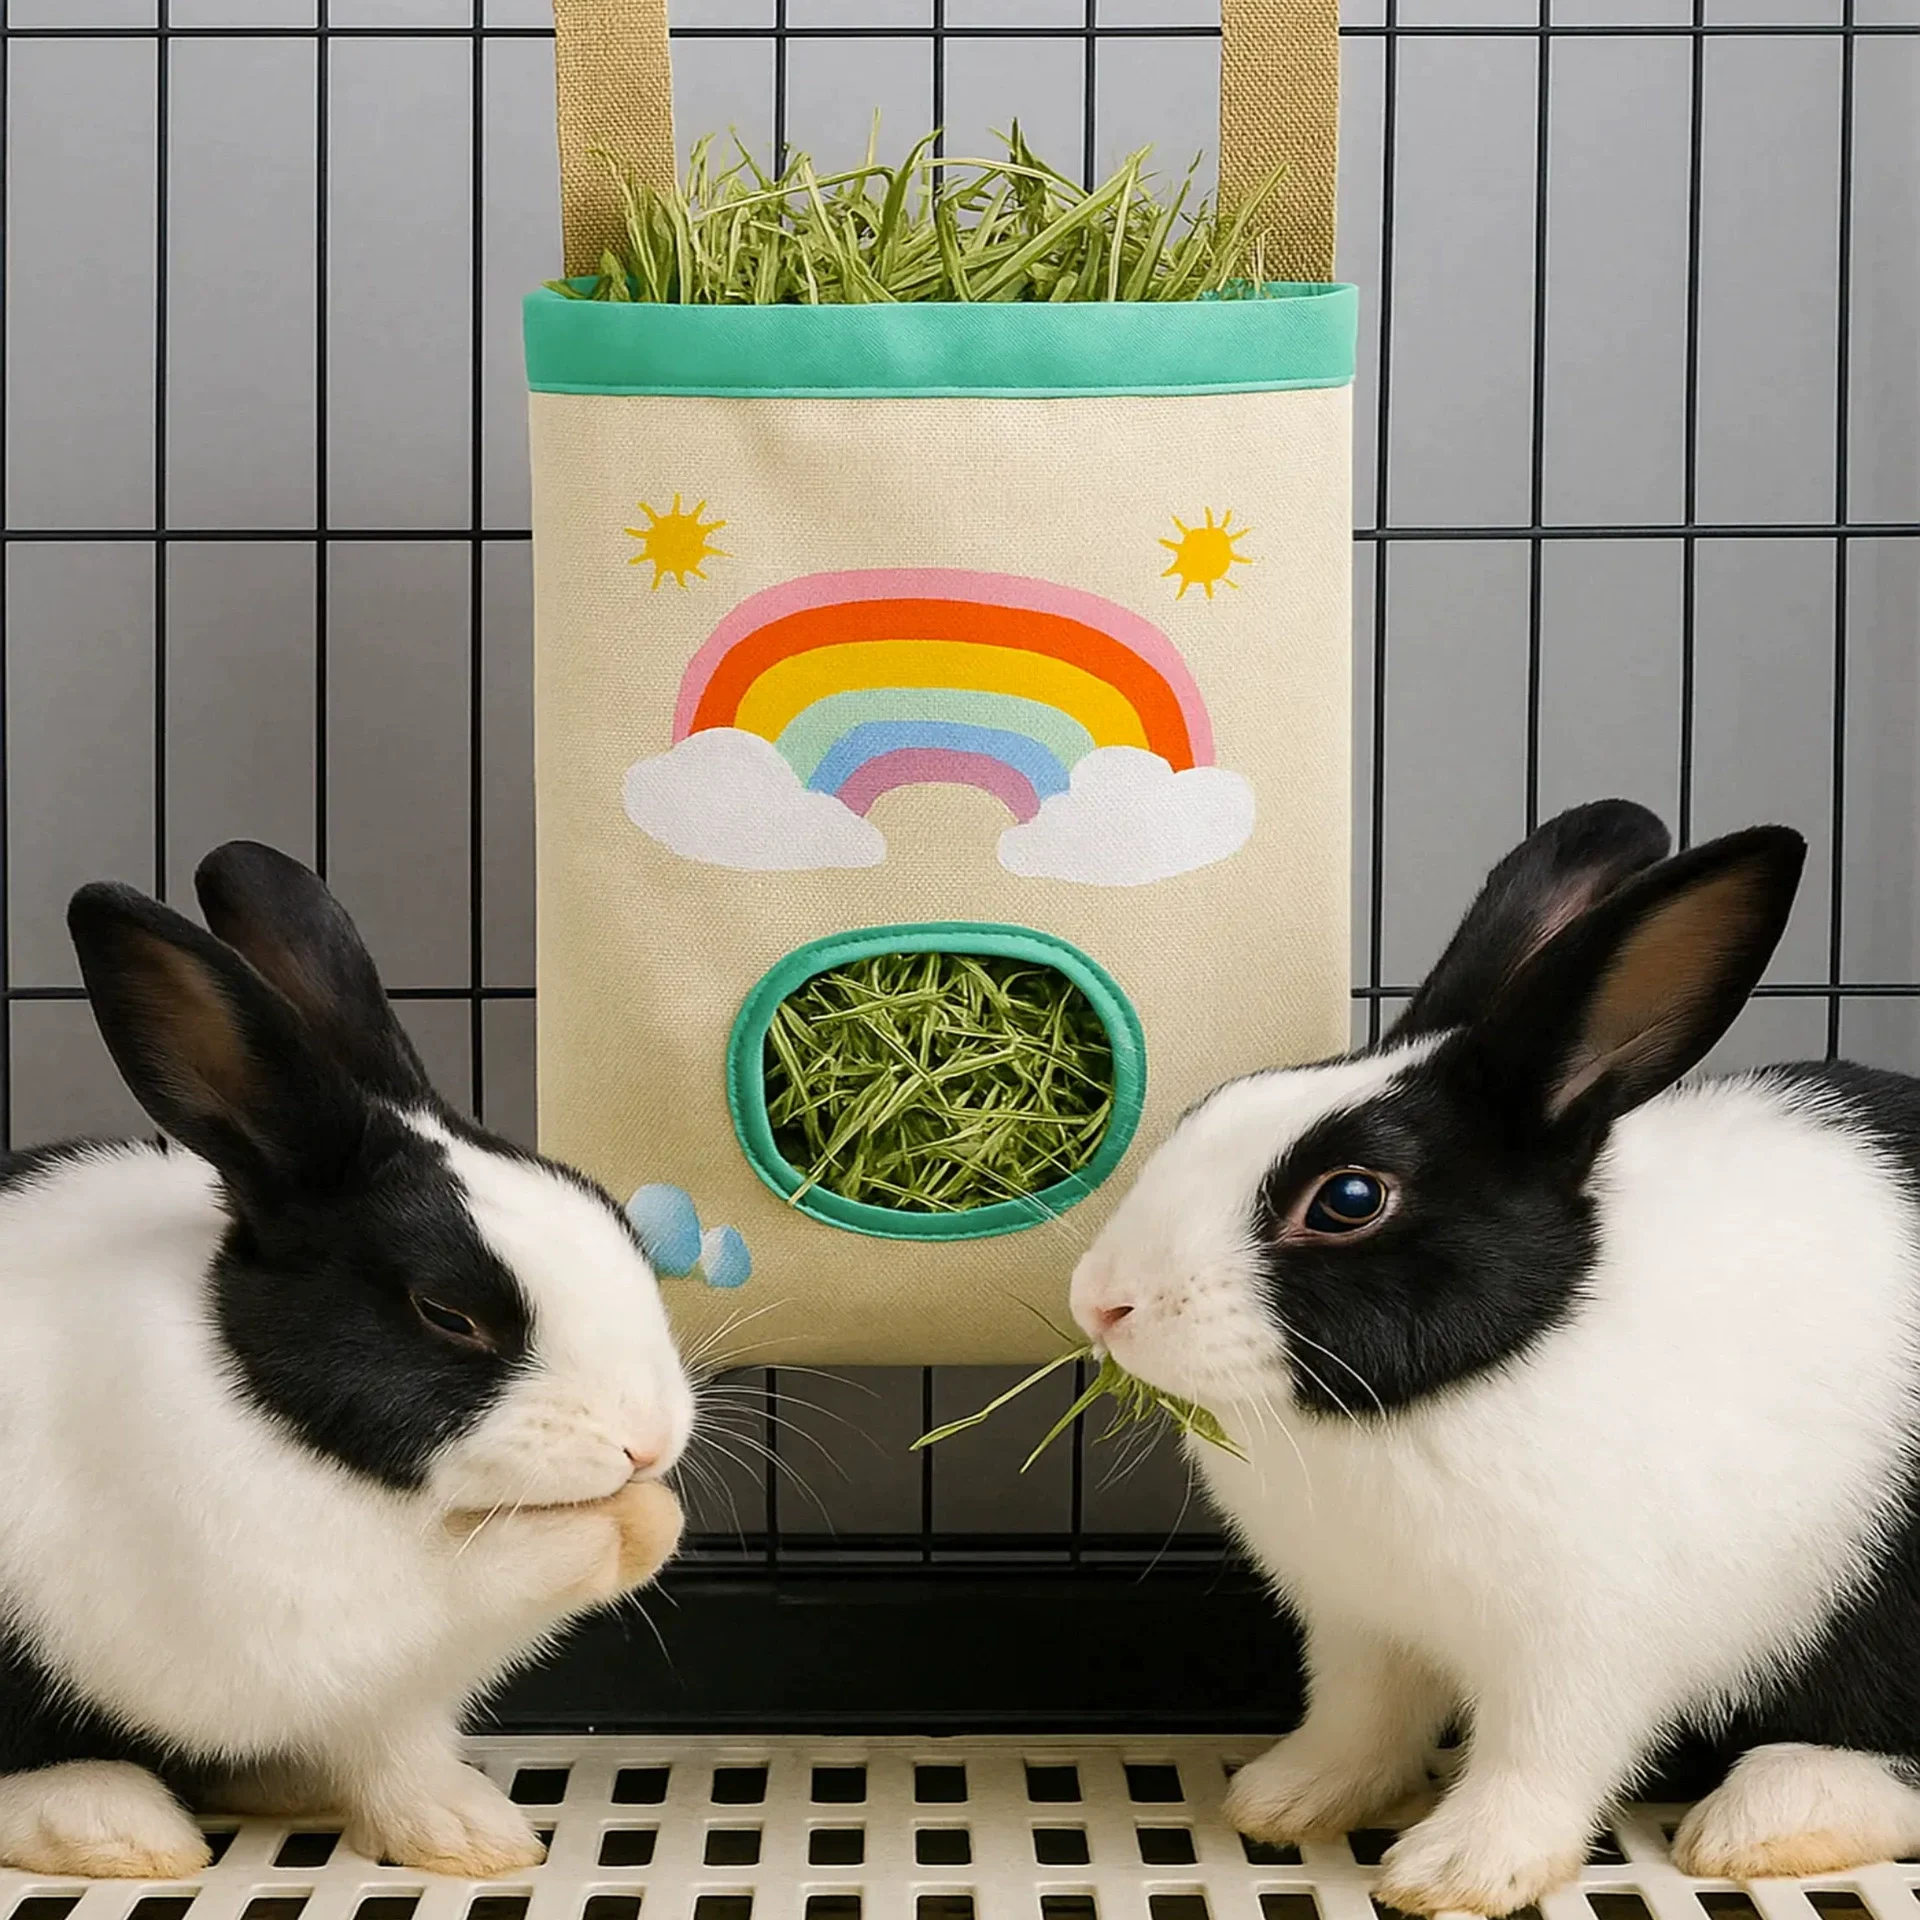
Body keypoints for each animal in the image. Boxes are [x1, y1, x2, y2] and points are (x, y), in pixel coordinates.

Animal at [0, 843, 693, 1882]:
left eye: (611, 1214)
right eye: (446, 1313)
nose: (647, 1445)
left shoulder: (386, 1688)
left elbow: (394, 1755)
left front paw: (476, 1838)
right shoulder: (333, 1612)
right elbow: (488, 1571)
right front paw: (634, 1523)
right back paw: (116, 1827)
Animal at [1071, 798, 1920, 1914]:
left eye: (1350, 1198)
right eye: (1212, 1106)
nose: (1100, 1301)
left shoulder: (1582, 1651)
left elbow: (1538, 1760)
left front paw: (1455, 1871)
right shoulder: (1359, 1628)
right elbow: (1358, 1719)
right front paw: (1286, 1801)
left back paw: (1761, 1823)